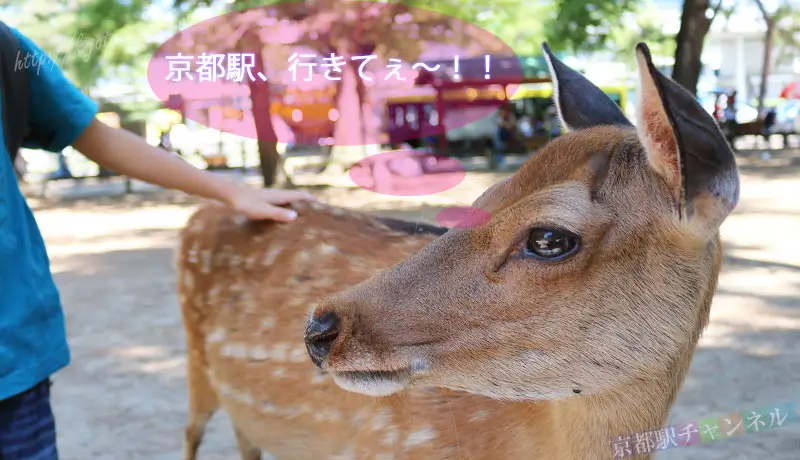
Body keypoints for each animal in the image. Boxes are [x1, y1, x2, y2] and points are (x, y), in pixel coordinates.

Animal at [175, 42, 739, 460]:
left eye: (549, 238)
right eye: (483, 198)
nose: (319, 329)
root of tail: (201, 212)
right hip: (195, 367)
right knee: (191, 432)